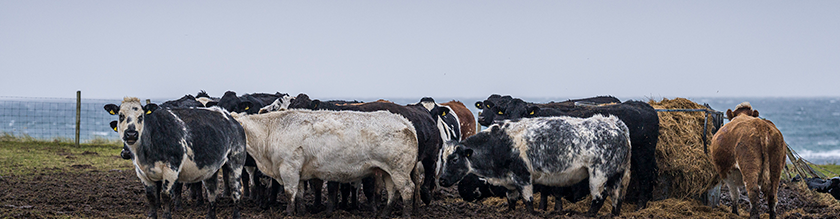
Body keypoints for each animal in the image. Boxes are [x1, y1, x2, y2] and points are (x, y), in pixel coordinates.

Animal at [102, 97, 246, 219]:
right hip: (211, 168)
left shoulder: (172, 169)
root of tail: (230, 118)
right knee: (212, 192)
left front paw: (167, 215)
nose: (131, 134)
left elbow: (166, 195)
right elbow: (151, 197)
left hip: (236, 162)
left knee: (236, 190)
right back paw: (210, 215)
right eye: (121, 115)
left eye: (141, 116)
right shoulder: (142, 172)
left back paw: (236, 214)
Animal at [233, 109, 420, 217]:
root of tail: (404, 121)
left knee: (407, 189)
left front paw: (289, 213)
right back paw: (385, 214)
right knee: (393, 191)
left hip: (399, 170)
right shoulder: (298, 171)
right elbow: (299, 193)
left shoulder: (289, 168)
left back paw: (406, 214)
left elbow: (290, 192)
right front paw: (302, 212)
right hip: (388, 172)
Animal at [440, 114, 632, 216]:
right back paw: (614, 214)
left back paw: (589, 215)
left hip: (598, 174)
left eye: (454, 159)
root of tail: (614, 123)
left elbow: (528, 200)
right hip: (617, 174)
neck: (499, 143)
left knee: (600, 197)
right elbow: (511, 200)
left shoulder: (523, 176)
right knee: (617, 196)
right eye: (442, 159)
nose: (441, 180)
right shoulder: (509, 181)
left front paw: (531, 214)